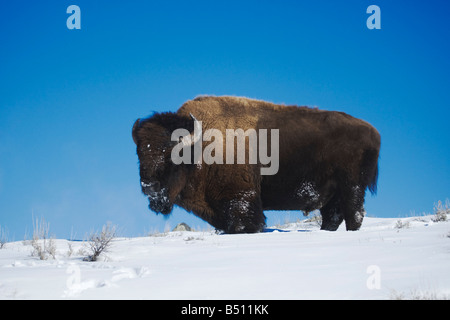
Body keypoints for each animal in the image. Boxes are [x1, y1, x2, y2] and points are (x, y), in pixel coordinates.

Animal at [133, 95, 380, 232]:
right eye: (139, 154)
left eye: (173, 155)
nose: (149, 187)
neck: (200, 146)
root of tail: (373, 132)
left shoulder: (240, 201)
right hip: (333, 194)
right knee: (333, 217)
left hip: (352, 187)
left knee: (354, 215)